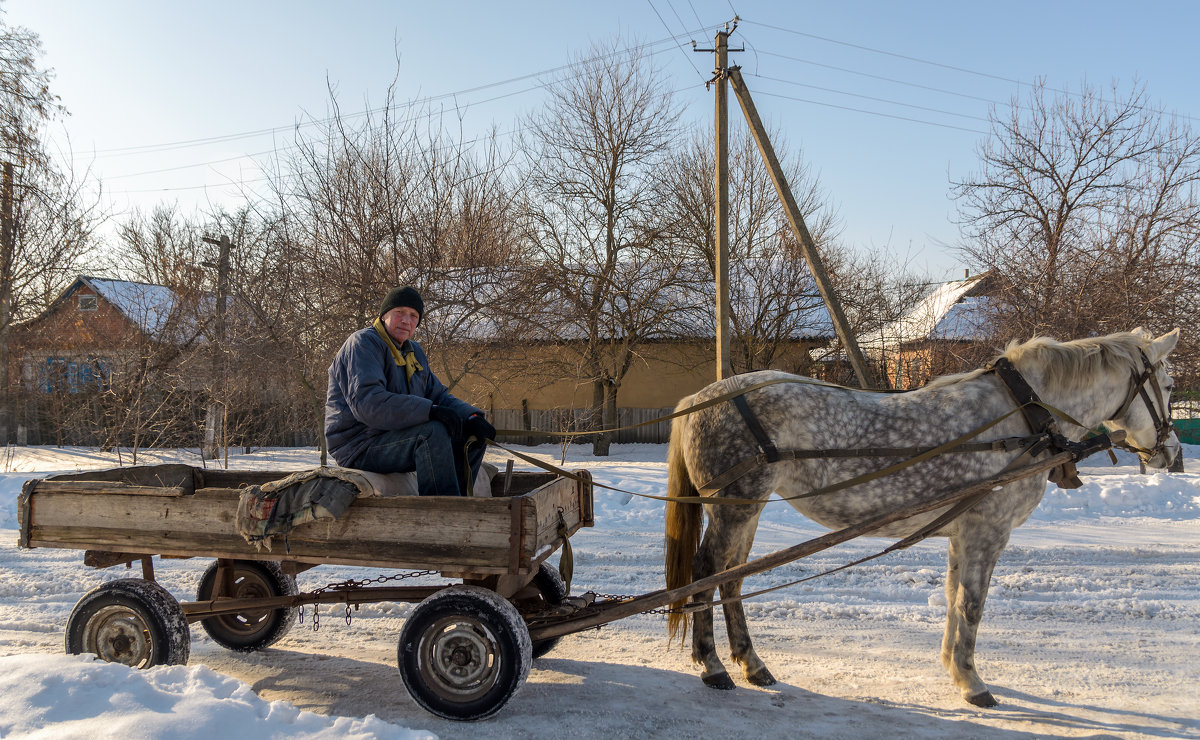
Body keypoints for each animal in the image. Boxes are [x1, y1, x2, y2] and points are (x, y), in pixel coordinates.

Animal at [667, 328, 1180, 705]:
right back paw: (712, 666)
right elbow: (972, 605)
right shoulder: (987, 531)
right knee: (707, 572)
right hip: (735, 507)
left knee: (732, 578)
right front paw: (974, 684)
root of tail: (696, 400)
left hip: (746, 511)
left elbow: (954, 598)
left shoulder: (962, 531)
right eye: (1171, 385)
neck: (1020, 417)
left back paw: (753, 664)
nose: (1171, 453)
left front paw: (954, 668)